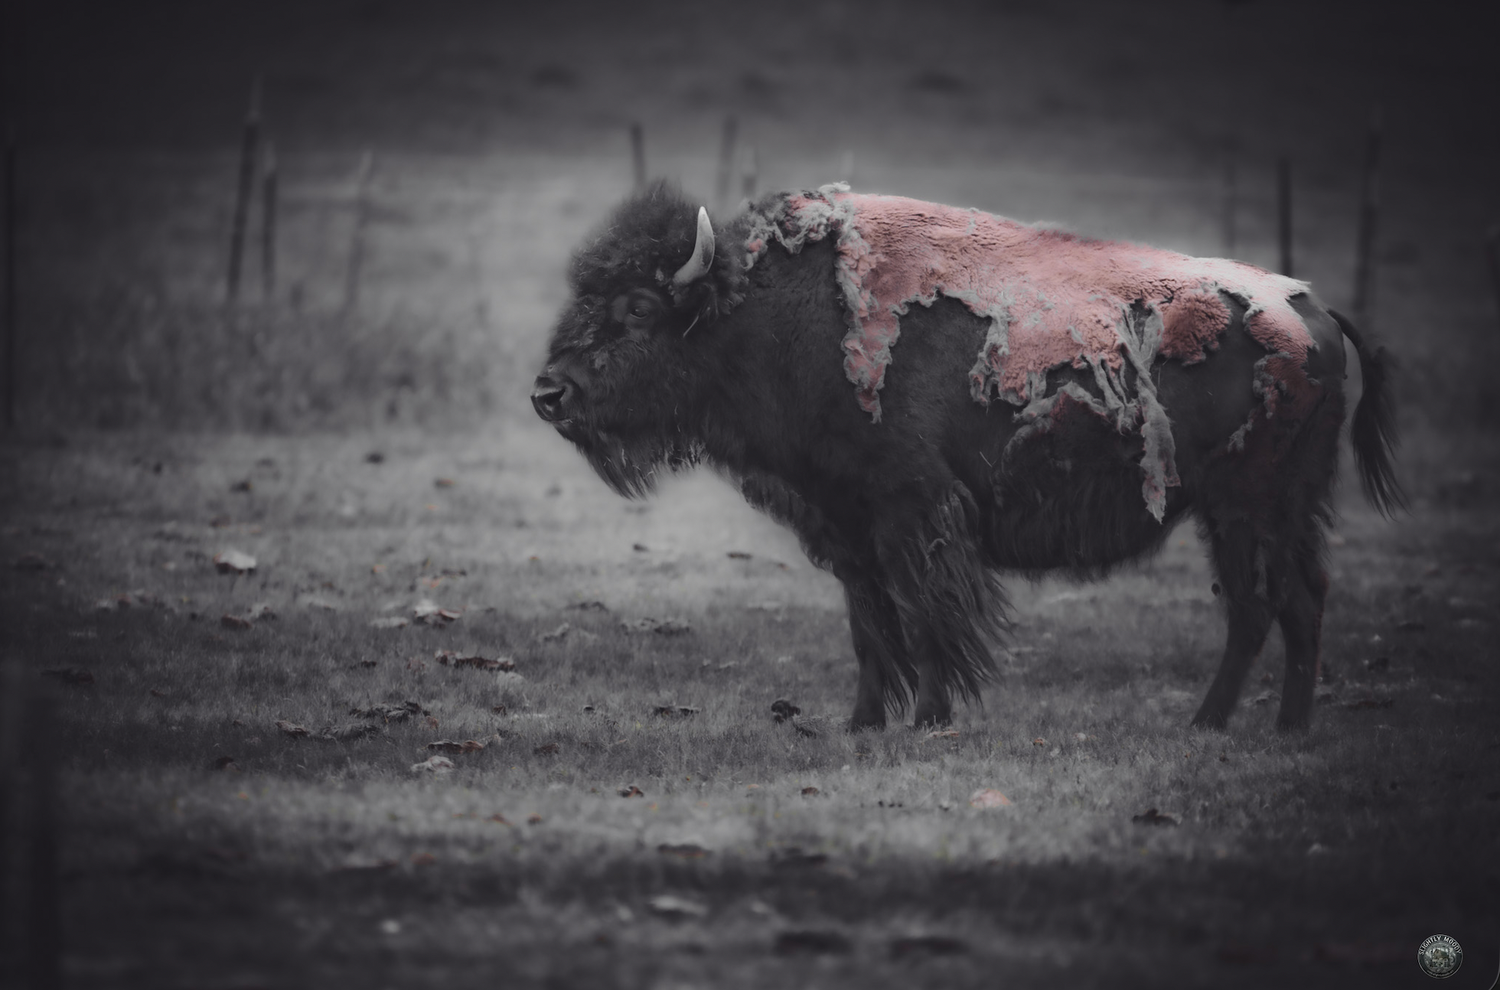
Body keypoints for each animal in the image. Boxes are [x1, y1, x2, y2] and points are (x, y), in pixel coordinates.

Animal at [532, 182, 1401, 732]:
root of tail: (1312, 311)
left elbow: (925, 620)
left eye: (637, 308)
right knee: (1288, 603)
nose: (548, 393)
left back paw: (1228, 725)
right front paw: (862, 723)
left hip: (1249, 507)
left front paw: (928, 719)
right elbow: (870, 626)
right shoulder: (847, 527)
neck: (758, 313)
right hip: (1266, 510)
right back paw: (1259, 727)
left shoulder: (913, 513)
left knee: (1269, 604)